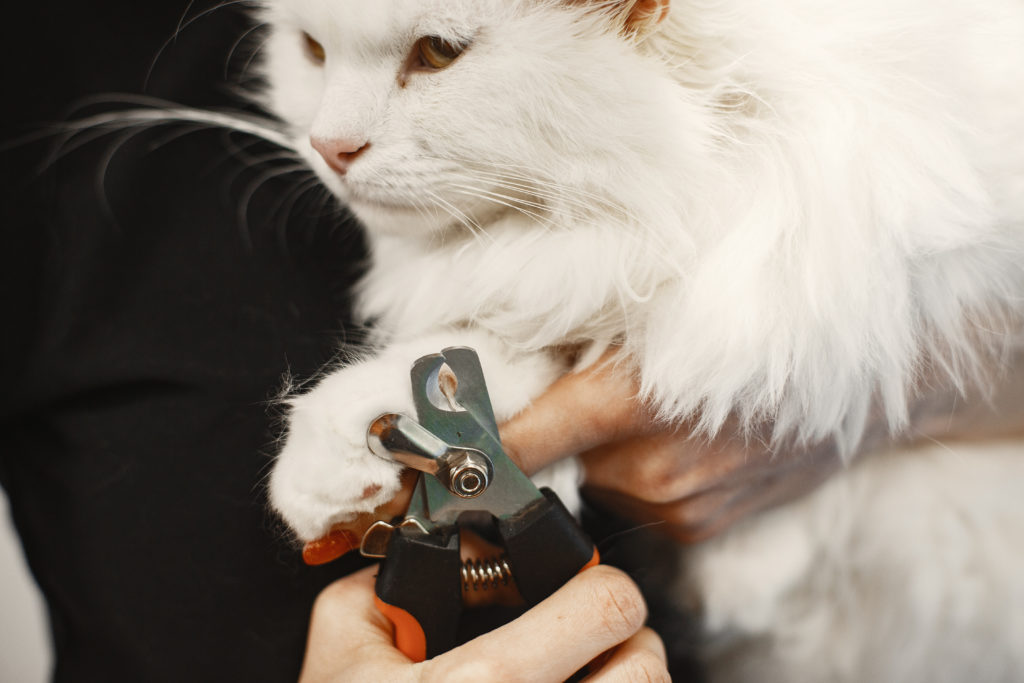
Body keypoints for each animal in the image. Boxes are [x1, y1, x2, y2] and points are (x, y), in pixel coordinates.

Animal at [258, 2, 1024, 679]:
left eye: (439, 54)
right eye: (313, 52)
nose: (329, 149)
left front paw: (753, 569)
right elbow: (500, 348)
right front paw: (333, 457)